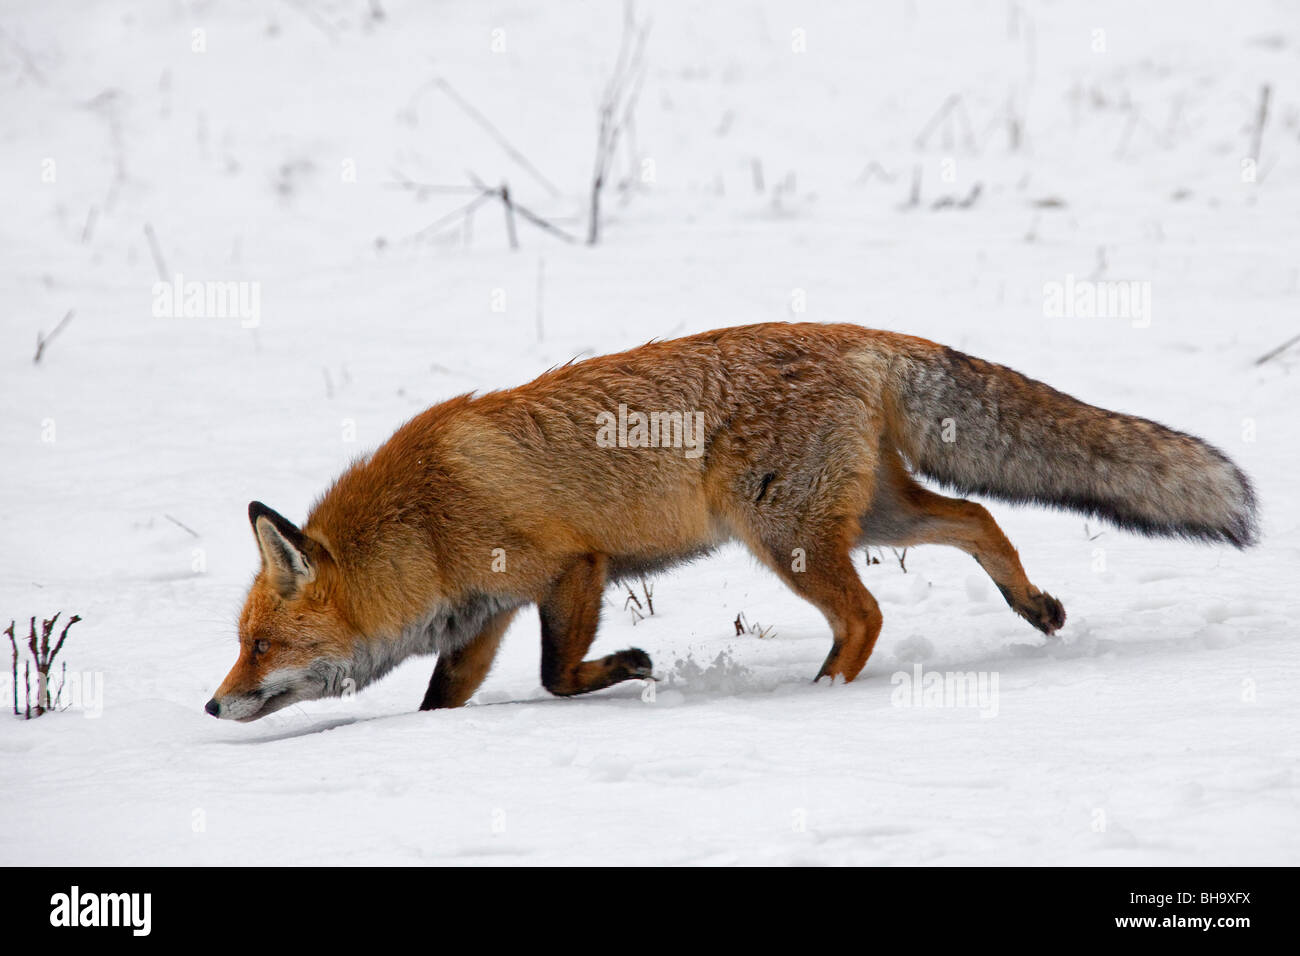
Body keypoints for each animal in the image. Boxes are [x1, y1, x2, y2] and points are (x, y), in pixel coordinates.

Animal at [205, 325, 1258, 723]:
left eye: (260, 647)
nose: (213, 706)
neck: (422, 522)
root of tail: (864, 335)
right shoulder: (487, 615)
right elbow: (443, 700)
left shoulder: (572, 567)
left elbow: (556, 676)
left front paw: (628, 669)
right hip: (875, 514)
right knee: (978, 515)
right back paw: (1033, 606)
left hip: (787, 537)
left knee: (867, 615)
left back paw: (820, 693)